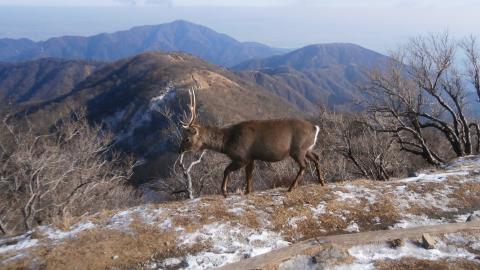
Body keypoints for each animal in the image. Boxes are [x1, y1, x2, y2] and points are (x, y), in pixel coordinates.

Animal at [178, 88, 324, 196]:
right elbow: (249, 175)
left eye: (187, 138)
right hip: (307, 148)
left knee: (304, 165)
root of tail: (315, 128)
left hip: (298, 149)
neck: (228, 143)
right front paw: (248, 191)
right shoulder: (251, 158)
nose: (179, 150)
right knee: (316, 157)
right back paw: (321, 181)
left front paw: (224, 191)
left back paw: (291, 187)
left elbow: (226, 170)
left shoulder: (242, 157)